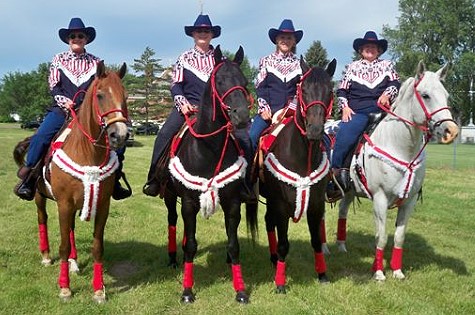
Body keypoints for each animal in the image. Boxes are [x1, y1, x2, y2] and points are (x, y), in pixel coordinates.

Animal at [13, 62, 128, 304]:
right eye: (100, 95)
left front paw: (99, 290)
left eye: (126, 96)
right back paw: (46, 256)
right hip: (40, 198)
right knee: (43, 220)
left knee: (72, 229)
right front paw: (65, 289)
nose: (120, 135)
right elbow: (64, 246)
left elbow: (97, 247)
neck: (86, 152)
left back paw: (75, 263)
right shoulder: (63, 204)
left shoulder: (102, 205)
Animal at [160, 45, 256, 304]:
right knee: (173, 221)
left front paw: (240, 290)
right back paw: (172, 259)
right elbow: (191, 246)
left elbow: (233, 245)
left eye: (244, 81)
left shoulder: (233, 202)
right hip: (171, 197)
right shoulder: (189, 202)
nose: (242, 117)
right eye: (220, 81)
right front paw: (187, 291)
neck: (208, 148)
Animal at [249, 58, 338, 294]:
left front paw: (322, 274)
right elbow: (283, 244)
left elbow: (316, 241)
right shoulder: (281, 205)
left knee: (268, 221)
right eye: (303, 89)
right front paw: (280, 283)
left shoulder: (316, 205)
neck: (302, 157)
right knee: (269, 223)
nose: (314, 130)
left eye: (329, 90)